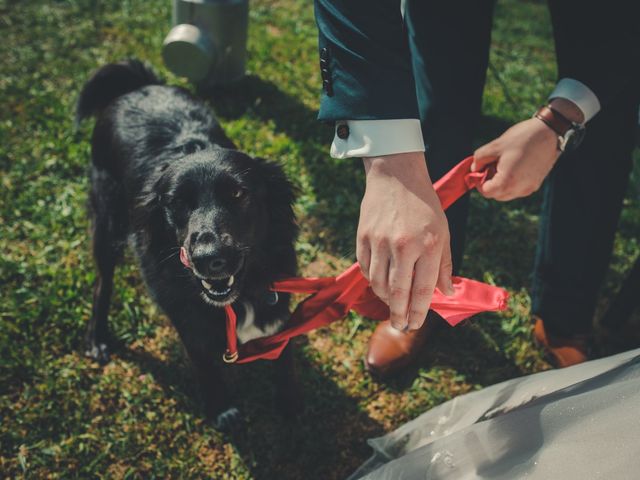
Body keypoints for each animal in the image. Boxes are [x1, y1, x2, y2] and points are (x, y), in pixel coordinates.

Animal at [76, 59, 302, 428]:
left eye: (238, 194)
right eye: (177, 203)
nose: (209, 258)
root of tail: (139, 85)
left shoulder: (277, 297)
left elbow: (285, 357)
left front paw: (289, 405)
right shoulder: (187, 319)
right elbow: (205, 365)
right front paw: (221, 407)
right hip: (107, 217)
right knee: (102, 281)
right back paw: (97, 337)